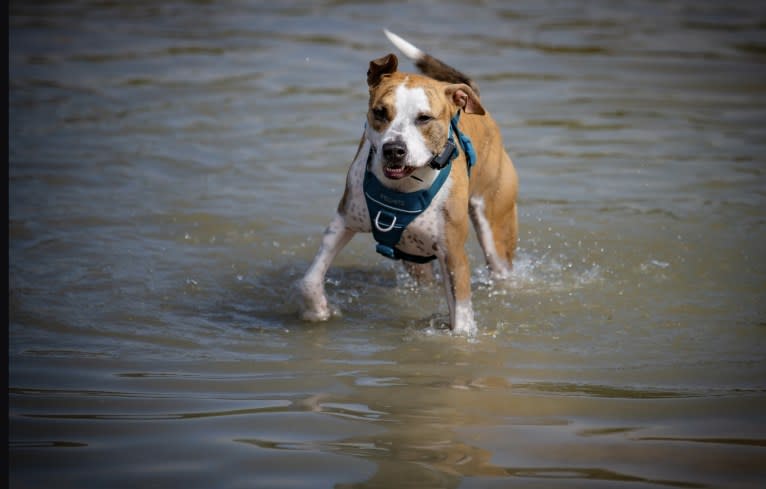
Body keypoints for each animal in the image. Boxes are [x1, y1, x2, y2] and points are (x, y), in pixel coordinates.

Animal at [296, 31, 520, 336]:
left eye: (424, 118)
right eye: (380, 112)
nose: (394, 149)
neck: (404, 187)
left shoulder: (453, 255)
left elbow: (461, 323)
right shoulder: (343, 221)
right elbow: (309, 281)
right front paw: (319, 311)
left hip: (496, 229)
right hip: (413, 255)